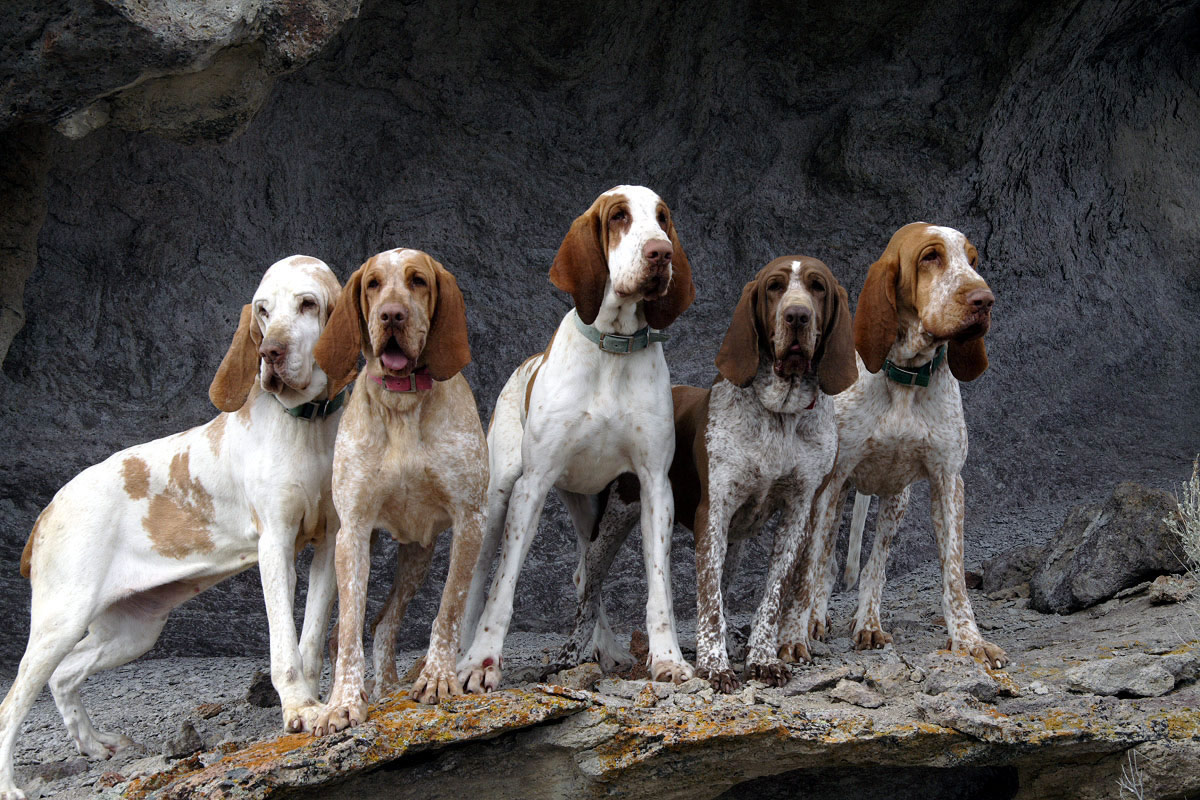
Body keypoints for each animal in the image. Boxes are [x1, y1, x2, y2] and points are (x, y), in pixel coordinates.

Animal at [0, 256, 348, 800]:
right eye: (263, 311)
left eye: (308, 304)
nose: (269, 354)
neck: (306, 426)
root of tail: (49, 509)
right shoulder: (276, 546)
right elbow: (284, 647)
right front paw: (296, 707)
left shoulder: (328, 544)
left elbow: (309, 641)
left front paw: (314, 706)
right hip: (61, 619)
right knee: (12, 702)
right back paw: (10, 783)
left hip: (133, 631)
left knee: (64, 676)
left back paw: (95, 745)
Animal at [566, 257, 859, 695]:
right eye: (774, 287)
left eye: (817, 287)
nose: (797, 316)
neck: (780, 415)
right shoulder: (714, 512)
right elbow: (708, 599)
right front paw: (714, 665)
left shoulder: (798, 512)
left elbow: (771, 597)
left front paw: (761, 658)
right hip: (615, 522)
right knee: (588, 586)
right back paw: (571, 654)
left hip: (731, 542)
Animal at [777, 224, 1003, 671]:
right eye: (930, 257)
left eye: (972, 260)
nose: (983, 300)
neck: (906, 377)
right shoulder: (831, 482)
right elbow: (810, 571)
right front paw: (795, 635)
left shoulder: (948, 482)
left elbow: (953, 575)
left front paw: (970, 640)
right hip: (832, 498)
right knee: (825, 563)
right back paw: (815, 619)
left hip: (896, 500)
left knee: (874, 564)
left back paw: (868, 622)